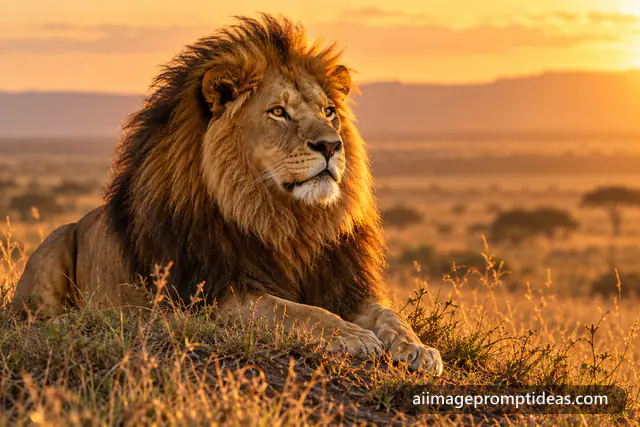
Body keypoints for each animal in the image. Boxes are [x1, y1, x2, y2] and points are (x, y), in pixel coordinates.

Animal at [12, 15, 443, 374]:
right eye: (278, 112)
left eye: (329, 111)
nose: (331, 145)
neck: (287, 221)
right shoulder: (217, 296)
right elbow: (298, 312)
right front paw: (352, 336)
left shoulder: (345, 284)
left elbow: (390, 315)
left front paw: (417, 348)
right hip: (55, 243)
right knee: (31, 317)